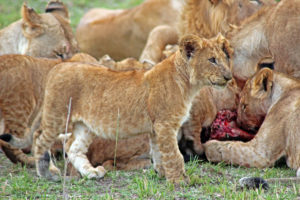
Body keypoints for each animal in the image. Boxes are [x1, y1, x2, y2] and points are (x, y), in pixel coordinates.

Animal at [32, 34, 233, 183]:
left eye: (225, 58)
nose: (229, 77)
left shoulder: (155, 129)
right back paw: (46, 172)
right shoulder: (165, 125)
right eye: (212, 60)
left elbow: (159, 154)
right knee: (39, 138)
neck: (188, 84)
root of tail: (58, 67)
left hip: (85, 126)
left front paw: (162, 174)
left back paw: (91, 172)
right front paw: (179, 181)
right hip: (58, 116)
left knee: (72, 147)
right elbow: (174, 155)